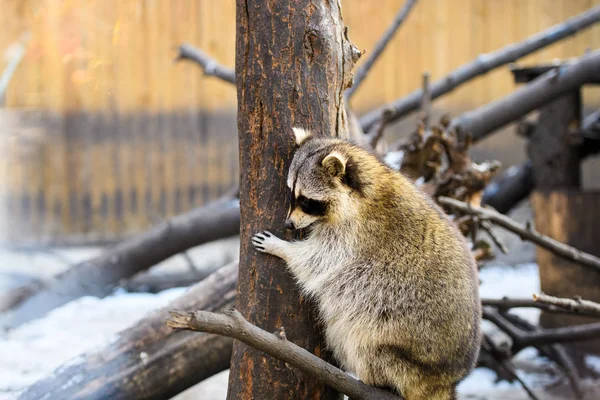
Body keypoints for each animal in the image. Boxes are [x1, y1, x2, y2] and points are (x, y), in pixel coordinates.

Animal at [252, 126, 482, 398]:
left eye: (307, 201)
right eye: (291, 194)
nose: (289, 225)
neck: (364, 188)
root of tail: (445, 380)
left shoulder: (357, 234)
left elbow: (319, 260)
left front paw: (282, 248)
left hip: (398, 349)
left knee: (363, 338)